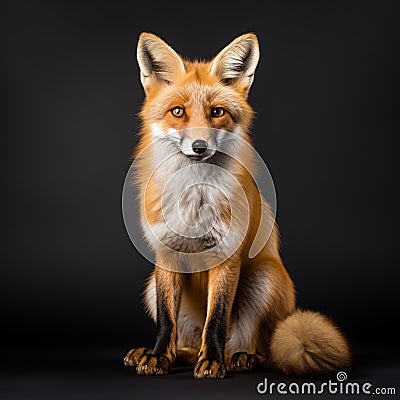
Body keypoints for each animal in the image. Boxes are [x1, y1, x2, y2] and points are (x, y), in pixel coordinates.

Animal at [122, 32, 350, 378]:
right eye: (178, 112)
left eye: (217, 112)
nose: (199, 146)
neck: (194, 198)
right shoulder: (165, 255)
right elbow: (166, 320)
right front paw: (158, 356)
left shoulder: (227, 255)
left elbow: (216, 320)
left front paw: (213, 362)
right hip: (151, 285)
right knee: (187, 344)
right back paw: (168, 354)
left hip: (263, 279)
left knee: (261, 348)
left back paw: (240, 357)